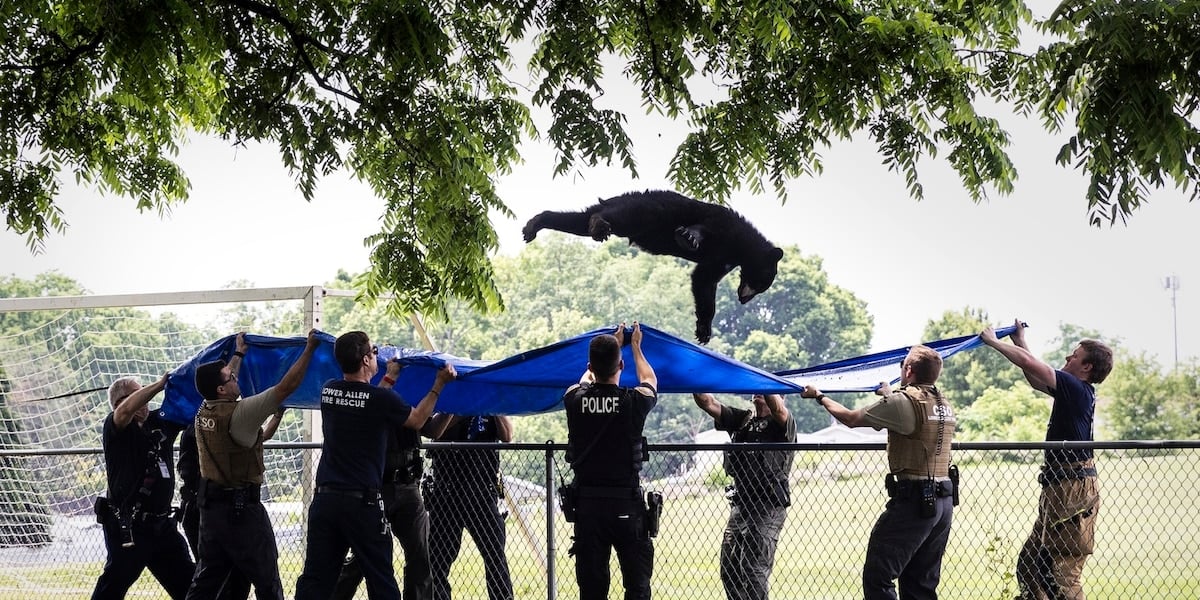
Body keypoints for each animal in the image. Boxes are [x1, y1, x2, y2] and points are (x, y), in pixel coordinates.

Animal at [520, 189, 782, 345]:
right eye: (761, 282)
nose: (744, 299)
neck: (741, 245)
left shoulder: (721, 258)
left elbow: (704, 279)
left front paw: (704, 330)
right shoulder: (722, 224)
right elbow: (700, 232)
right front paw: (687, 237)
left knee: (577, 220)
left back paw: (535, 224)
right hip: (645, 209)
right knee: (620, 215)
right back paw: (598, 224)